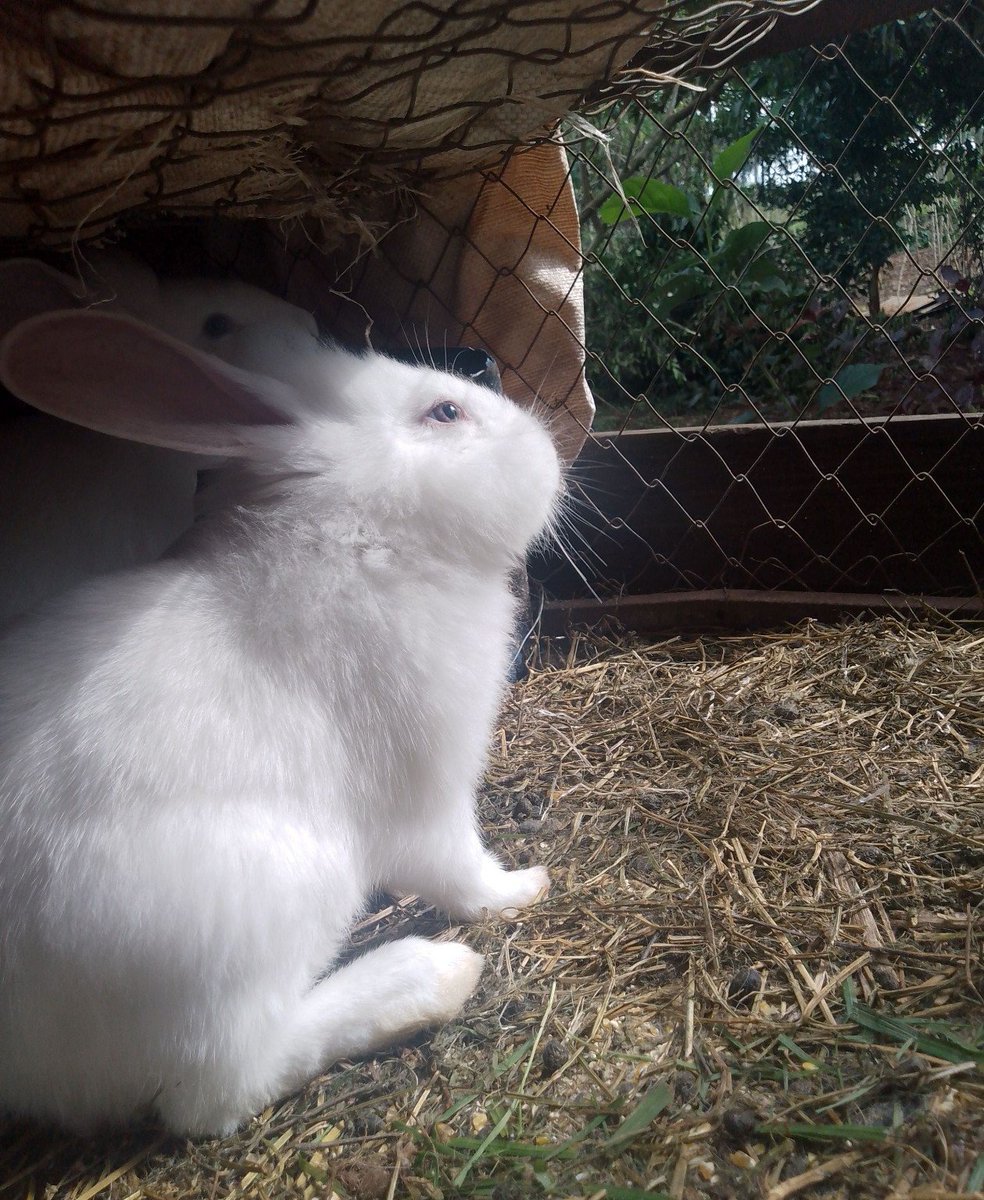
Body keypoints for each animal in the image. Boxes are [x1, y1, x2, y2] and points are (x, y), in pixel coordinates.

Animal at [0, 306, 561, 1137]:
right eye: (445, 412)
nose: (547, 445)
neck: (363, 534)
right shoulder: (426, 792)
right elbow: (462, 871)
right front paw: (526, 886)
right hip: (255, 916)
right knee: (221, 1087)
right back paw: (430, 977)